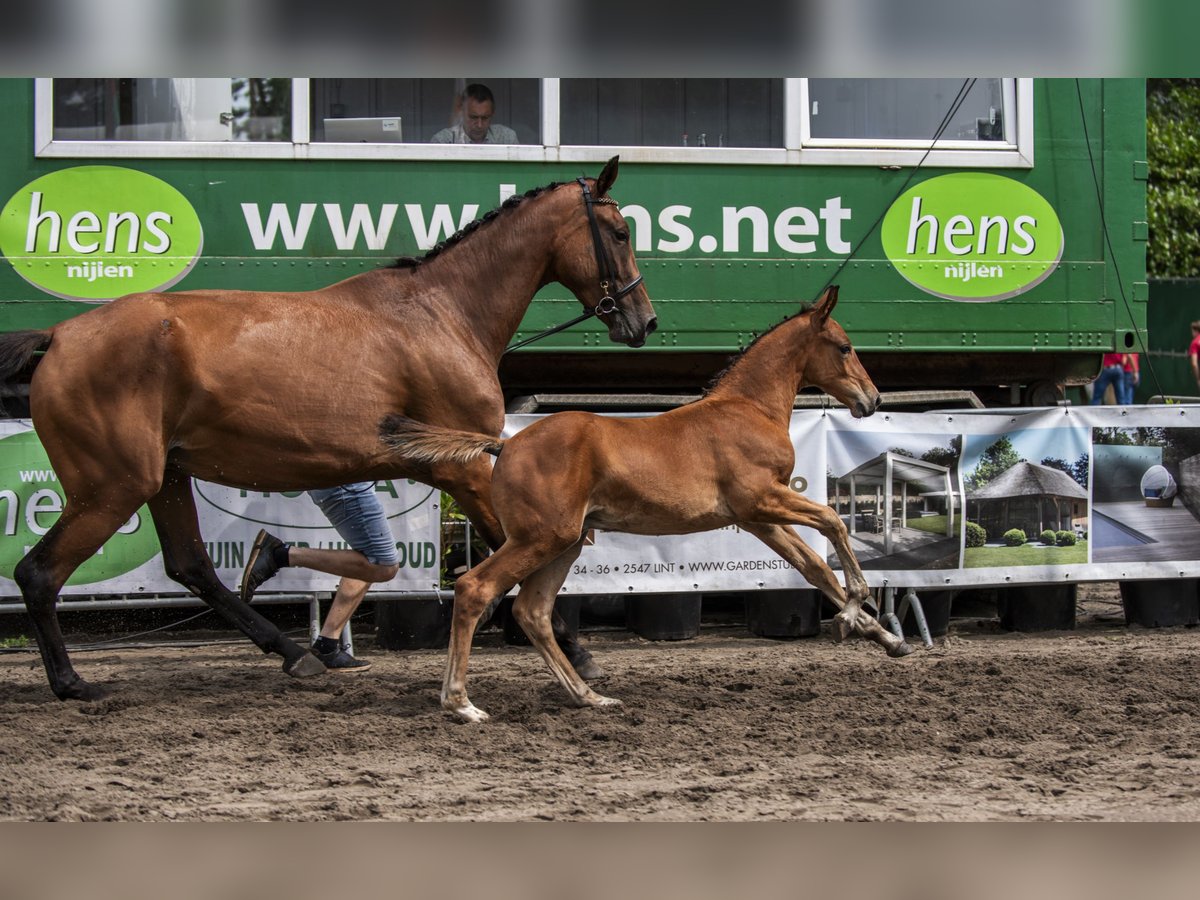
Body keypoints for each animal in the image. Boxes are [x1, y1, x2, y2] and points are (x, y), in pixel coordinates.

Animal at [0, 158, 657, 700]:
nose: (643, 320)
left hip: (164, 477)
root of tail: (60, 335)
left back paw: (295, 654)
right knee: (38, 572)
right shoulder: (467, 468)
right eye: (620, 234)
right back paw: (71, 682)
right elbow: (515, 551)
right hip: (113, 487)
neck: (443, 313)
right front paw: (574, 648)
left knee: (191, 567)